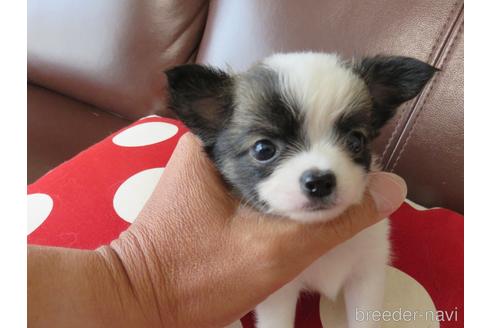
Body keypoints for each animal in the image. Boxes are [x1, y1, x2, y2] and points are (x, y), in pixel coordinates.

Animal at [165, 52, 434, 328]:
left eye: (356, 141)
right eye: (263, 149)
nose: (320, 181)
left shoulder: (367, 274)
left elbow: (365, 320)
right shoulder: (277, 292)